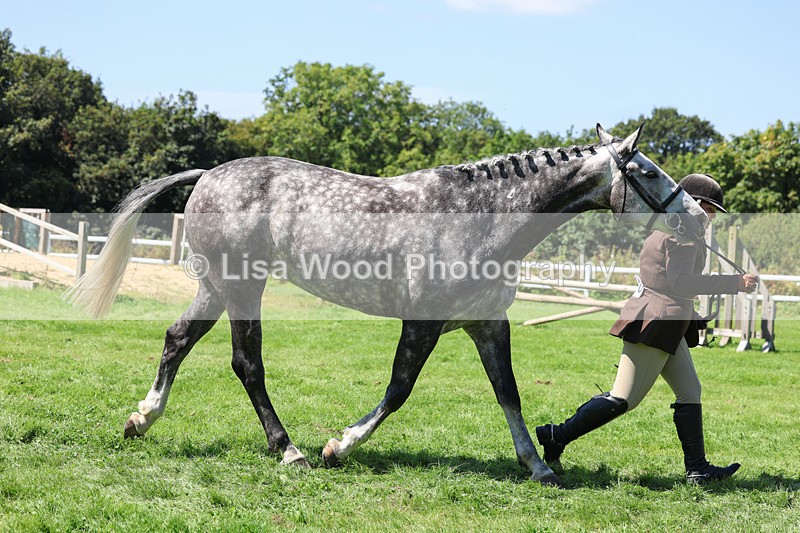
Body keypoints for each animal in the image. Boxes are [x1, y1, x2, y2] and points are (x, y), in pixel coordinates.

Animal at [66, 123, 707, 486]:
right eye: (648, 171)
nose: (698, 215)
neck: (482, 219)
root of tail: (210, 174)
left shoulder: (486, 325)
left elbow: (509, 394)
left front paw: (540, 466)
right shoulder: (422, 323)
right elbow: (399, 389)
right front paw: (337, 446)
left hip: (217, 288)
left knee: (177, 338)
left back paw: (141, 418)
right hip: (243, 288)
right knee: (247, 364)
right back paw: (290, 451)